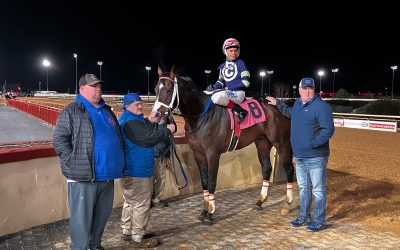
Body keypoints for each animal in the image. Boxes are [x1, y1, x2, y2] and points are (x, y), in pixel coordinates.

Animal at [153, 66, 294, 225]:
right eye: (156, 89)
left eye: (168, 89)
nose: (156, 114)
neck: (202, 116)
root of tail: (278, 104)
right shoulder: (198, 153)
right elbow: (204, 181)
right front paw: (203, 212)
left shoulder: (213, 154)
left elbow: (212, 181)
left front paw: (210, 214)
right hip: (262, 142)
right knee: (266, 169)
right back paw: (259, 202)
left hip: (281, 143)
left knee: (289, 169)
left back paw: (287, 204)